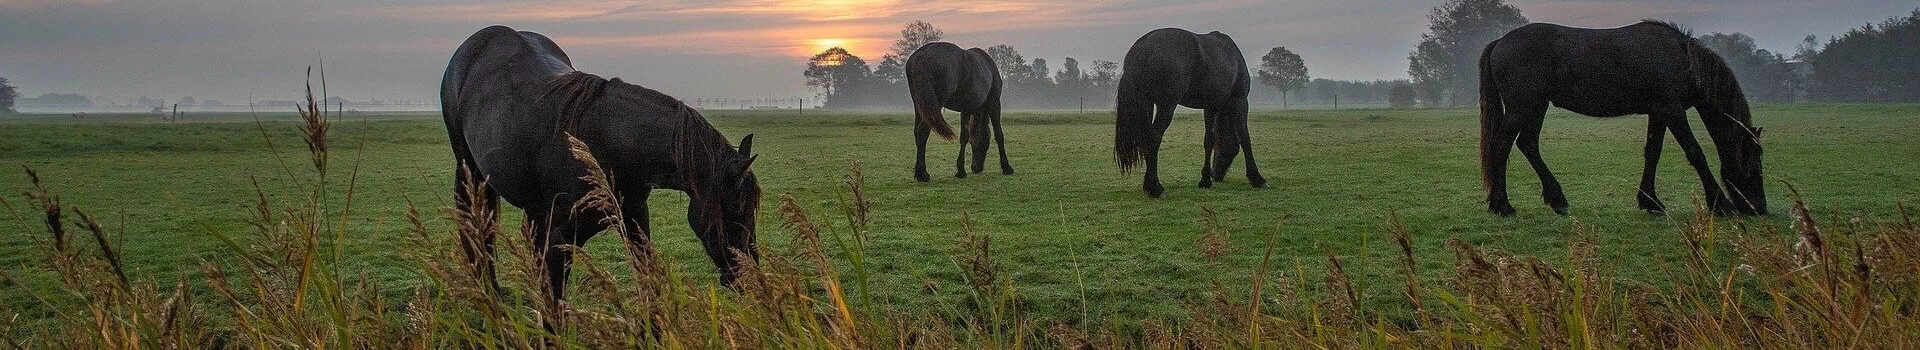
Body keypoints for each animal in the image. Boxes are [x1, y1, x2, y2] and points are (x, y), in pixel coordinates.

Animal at [439, 25, 760, 303]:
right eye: (737, 212)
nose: (750, 278)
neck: (605, 147)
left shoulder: (634, 221)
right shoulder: (560, 240)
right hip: (470, 171)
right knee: (478, 231)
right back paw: (489, 293)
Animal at [906, 42, 1013, 181]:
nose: (976, 168)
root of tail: (921, 56)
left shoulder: (965, 110)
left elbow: (965, 136)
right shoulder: (994, 104)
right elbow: (998, 134)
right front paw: (1006, 167)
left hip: (920, 106)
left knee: (918, 132)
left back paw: (920, 172)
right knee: (923, 130)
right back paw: (923, 174)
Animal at [1121, 28, 1267, 197]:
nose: (1216, 175)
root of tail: (1143, 45)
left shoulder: (1210, 106)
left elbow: (1209, 140)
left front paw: (1205, 180)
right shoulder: (1240, 101)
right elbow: (1244, 137)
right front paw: (1257, 178)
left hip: (1147, 103)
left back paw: (1148, 185)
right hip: (1167, 105)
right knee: (1153, 138)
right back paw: (1156, 188)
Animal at [1482, 21, 1766, 216]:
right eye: (1754, 162)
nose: (1759, 208)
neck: (1682, 60)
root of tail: (1500, 41)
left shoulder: (1659, 112)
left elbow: (1653, 152)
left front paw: (1650, 201)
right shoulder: (1673, 111)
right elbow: (1695, 152)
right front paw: (1720, 204)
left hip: (1537, 107)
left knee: (1528, 144)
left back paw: (1557, 200)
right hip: (1521, 108)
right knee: (1501, 147)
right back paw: (1503, 205)